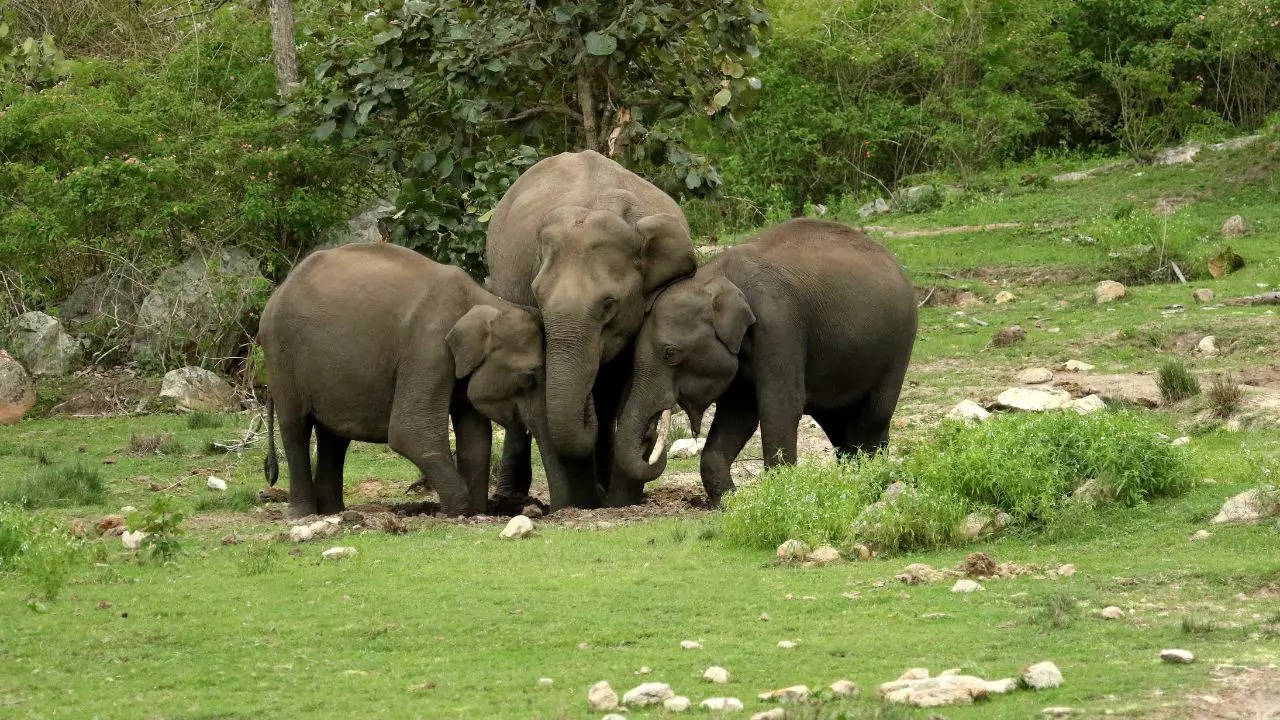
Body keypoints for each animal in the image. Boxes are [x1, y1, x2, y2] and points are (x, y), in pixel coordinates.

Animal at [262, 240, 573, 515]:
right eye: (529, 377)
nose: (554, 512)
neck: (482, 300)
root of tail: (277, 293)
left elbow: (476, 439)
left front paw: (476, 512)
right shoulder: (427, 349)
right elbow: (410, 432)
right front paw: (456, 512)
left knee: (334, 437)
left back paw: (332, 511)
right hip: (280, 355)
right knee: (295, 427)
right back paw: (302, 515)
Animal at [614, 215, 916, 502]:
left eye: (670, 354)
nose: (650, 438)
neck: (717, 277)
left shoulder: (778, 324)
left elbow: (779, 406)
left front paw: (780, 494)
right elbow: (738, 414)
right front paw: (730, 502)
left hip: (900, 344)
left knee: (875, 414)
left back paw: (868, 474)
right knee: (838, 422)